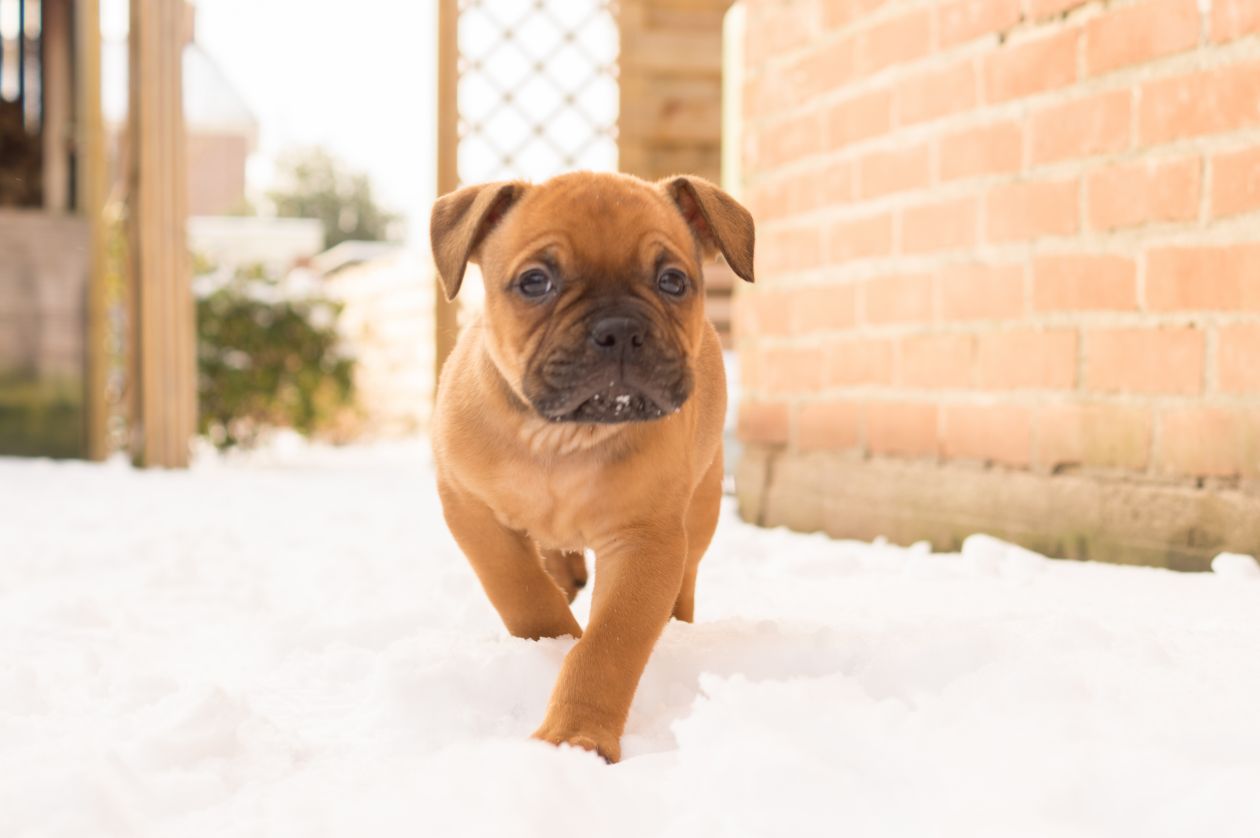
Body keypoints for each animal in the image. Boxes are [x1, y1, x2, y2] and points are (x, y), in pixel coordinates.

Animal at [428, 168, 750, 756]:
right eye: (535, 282)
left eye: (673, 281)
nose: (619, 329)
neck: (563, 436)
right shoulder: (471, 510)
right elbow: (520, 589)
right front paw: (554, 640)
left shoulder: (646, 542)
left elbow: (609, 645)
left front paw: (575, 737)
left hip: (702, 506)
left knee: (687, 575)